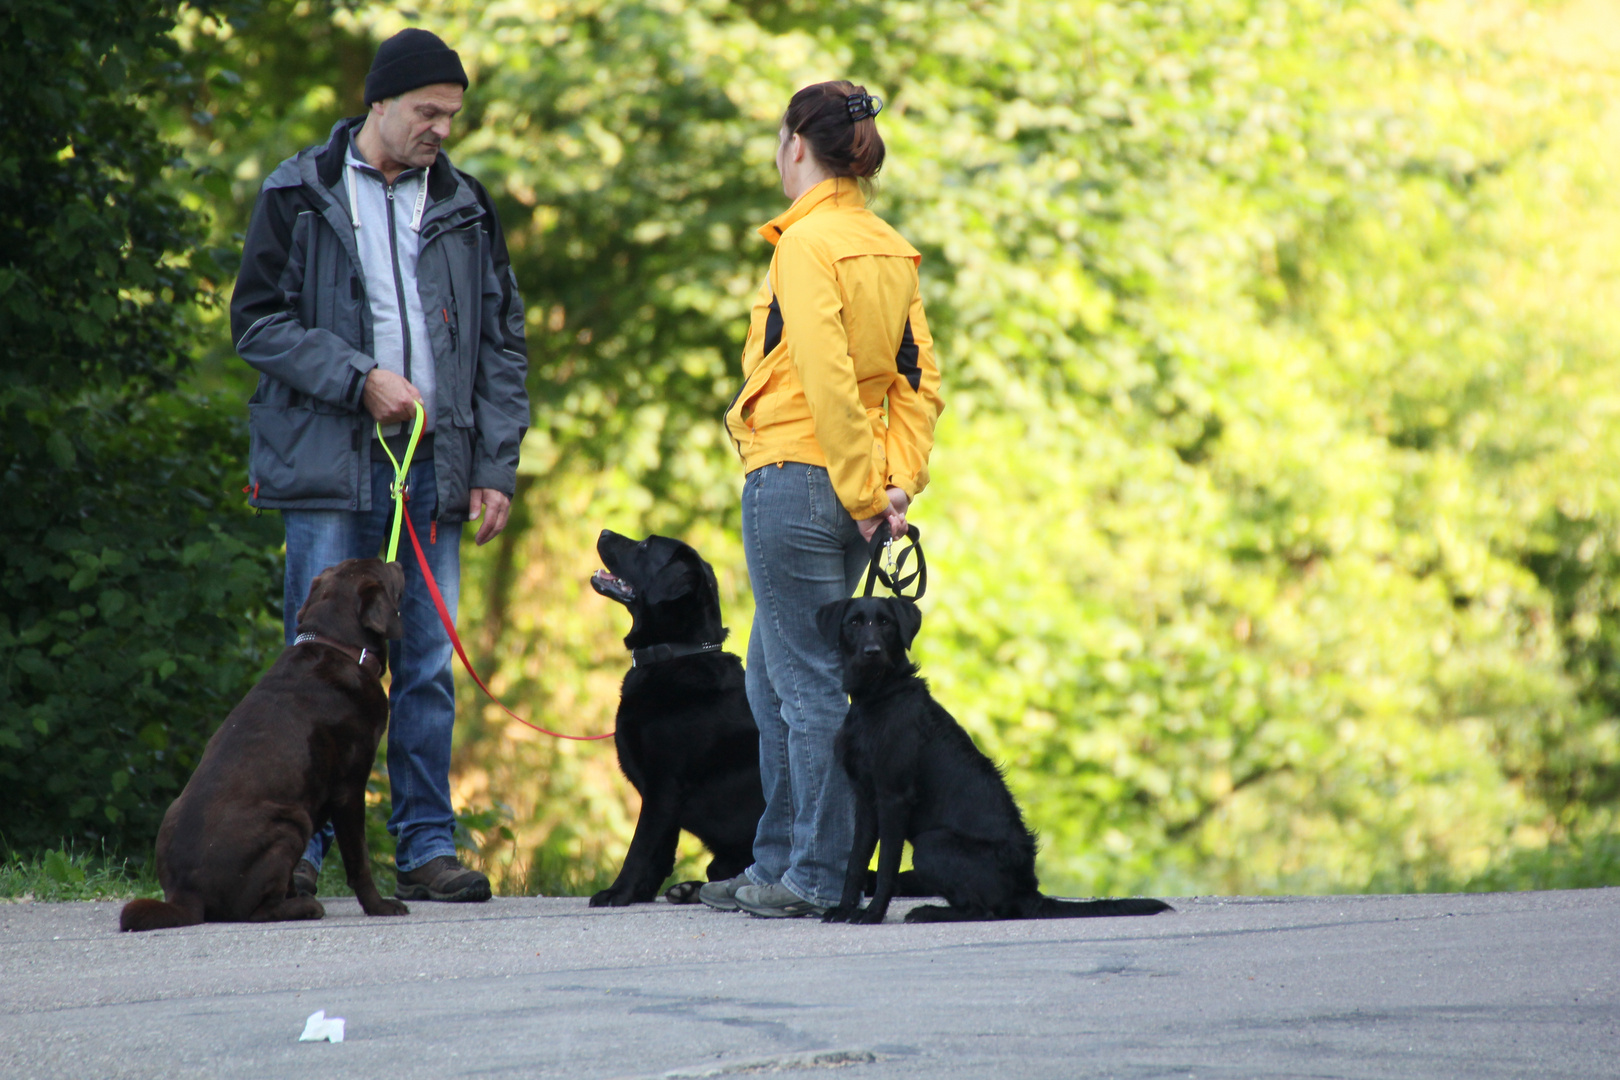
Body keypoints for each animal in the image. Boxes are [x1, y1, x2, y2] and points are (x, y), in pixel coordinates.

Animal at [586, 531, 761, 906]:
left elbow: (639, 848)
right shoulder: (660, 793)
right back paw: (690, 889)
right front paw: (640, 893)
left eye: (645, 546)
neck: (675, 655)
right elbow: (660, 851)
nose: (603, 533)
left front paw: (617, 892)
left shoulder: (664, 785)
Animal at [816, 595, 1172, 926]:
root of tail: (1028, 893)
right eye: (854, 623)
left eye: (886, 623)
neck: (878, 697)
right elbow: (855, 861)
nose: (872, 652)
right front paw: (844, 909)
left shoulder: (893, 798)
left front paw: (872, 914)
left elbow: (887, 865)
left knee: (982, 911)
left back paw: (929, 911)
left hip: (933, 843)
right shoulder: (866, 799)